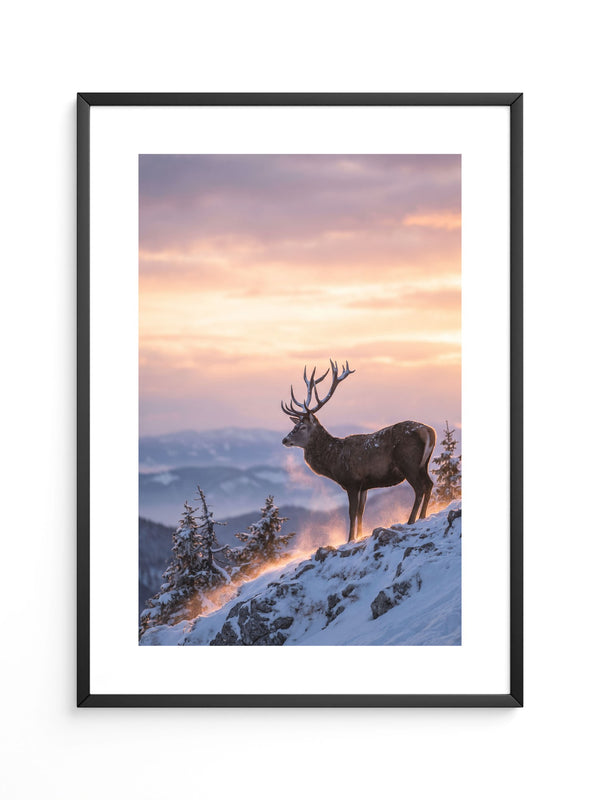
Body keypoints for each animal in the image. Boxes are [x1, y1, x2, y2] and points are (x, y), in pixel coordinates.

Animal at [281, 360, 436, 542]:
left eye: (302, 427)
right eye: (295, 425)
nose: (285, 440)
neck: (333, 461)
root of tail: (428, 431)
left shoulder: (352, 481)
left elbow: (352, 512)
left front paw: (349, 539)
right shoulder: (364, 485)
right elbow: (361, 512)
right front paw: (360, 535)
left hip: (408, 462)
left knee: (419, 488)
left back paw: (411, 520)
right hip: (423, 464)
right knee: (429, 484)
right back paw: (423, 516)